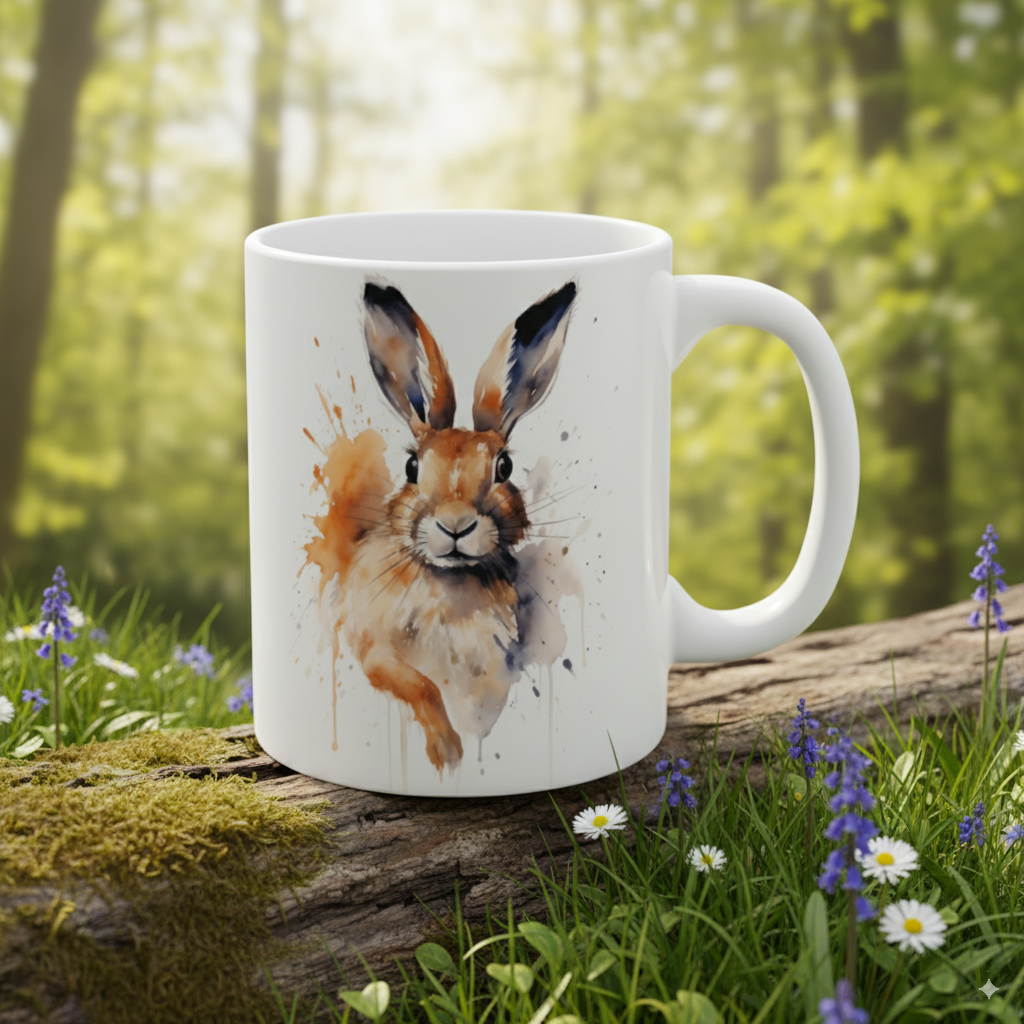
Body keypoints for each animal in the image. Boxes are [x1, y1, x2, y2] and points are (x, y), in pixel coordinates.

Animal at [329, 278, 577, 774]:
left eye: (503, 467)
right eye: (411, 466)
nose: (456, 525)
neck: (452, 583)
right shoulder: (374, 652)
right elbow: (420, 684)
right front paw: (448, 753)